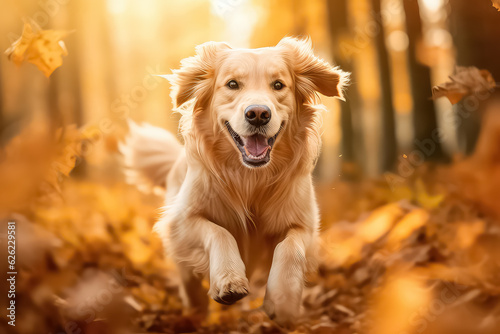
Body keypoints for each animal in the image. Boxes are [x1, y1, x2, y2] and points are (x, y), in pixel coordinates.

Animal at [120, 37, 348, 326]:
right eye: (232, 84)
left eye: (278, 85)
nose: (258, 113)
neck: (249, 178)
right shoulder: (181, 220)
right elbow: (219, 231)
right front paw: (228, 280)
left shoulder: (305, 225)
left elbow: (290, 247)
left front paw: (283, 299)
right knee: (189, 282)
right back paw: (195, 312)